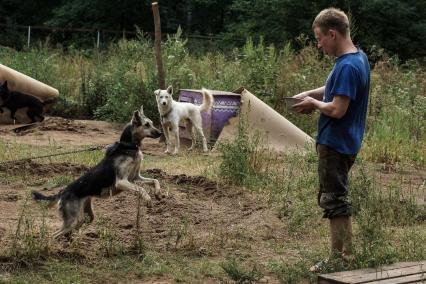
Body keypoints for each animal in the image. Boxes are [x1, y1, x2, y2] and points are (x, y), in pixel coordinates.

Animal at [31, 107, 163, 239]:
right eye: (147, 125)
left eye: (152, 123)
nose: (161, 133)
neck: (129, 146)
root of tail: (62, 192)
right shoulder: (121, 182)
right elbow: (142, 189)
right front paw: (148, 200)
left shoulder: (135, 178)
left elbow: (155, 180)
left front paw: (157, 193)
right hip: (73, 219)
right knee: (54, 235)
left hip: (85, 217)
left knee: (67, 231)